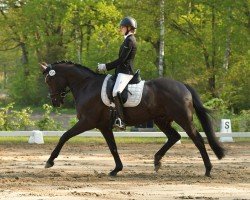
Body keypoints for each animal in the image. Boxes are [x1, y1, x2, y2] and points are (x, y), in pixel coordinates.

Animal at [39, 60, 225, 177]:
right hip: (161, 120)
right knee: (174, 136)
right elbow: (113, 147)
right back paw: (157, 161)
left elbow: (65, 136)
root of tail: (183, 86)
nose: (55, 102)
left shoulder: (87, 121)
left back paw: (208, 169)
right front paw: (116, 169)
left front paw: (50, 161)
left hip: (183, 118)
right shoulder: (103, 126)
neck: (87, 85)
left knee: (197, 139)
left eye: (49, 80)